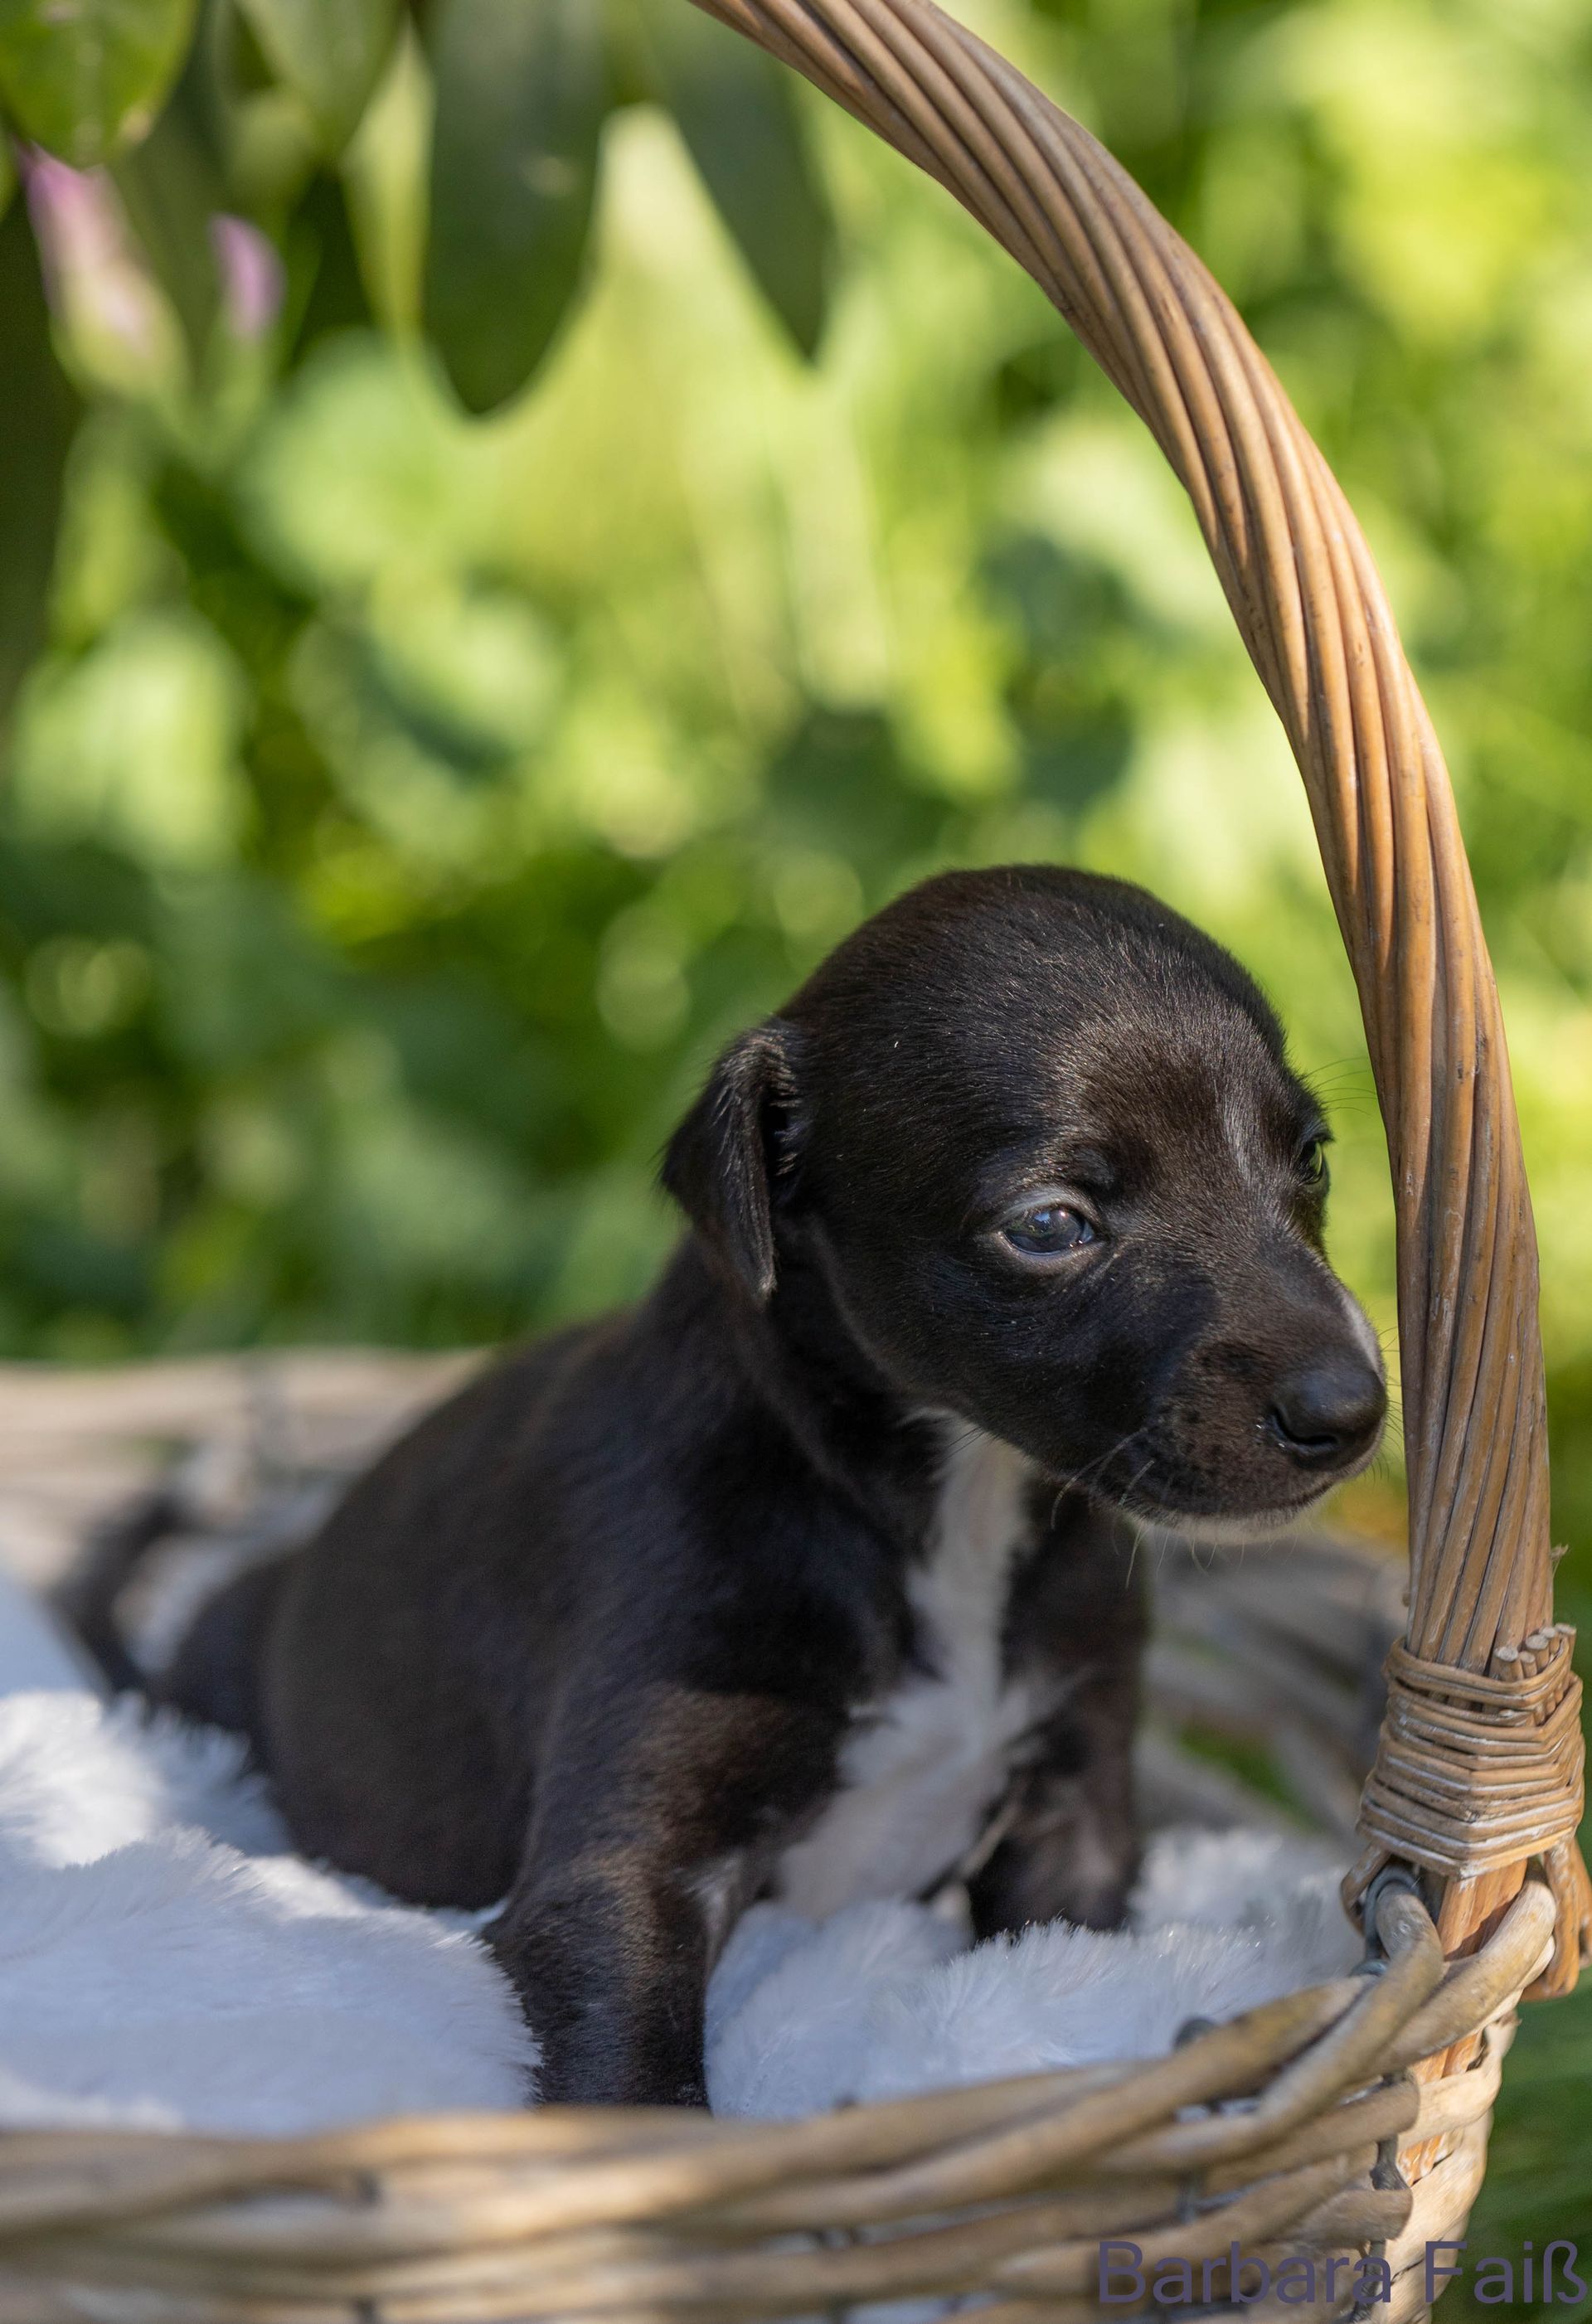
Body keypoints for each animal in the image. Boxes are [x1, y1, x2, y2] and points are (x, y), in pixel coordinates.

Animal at [68, 866, 1386, 2107]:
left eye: (1312, 1157)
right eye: (1053, 1223)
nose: (1352, 1411)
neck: (948, 1505)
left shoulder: (1077, 1811)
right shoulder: (624, 1873)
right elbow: (640, 2089)